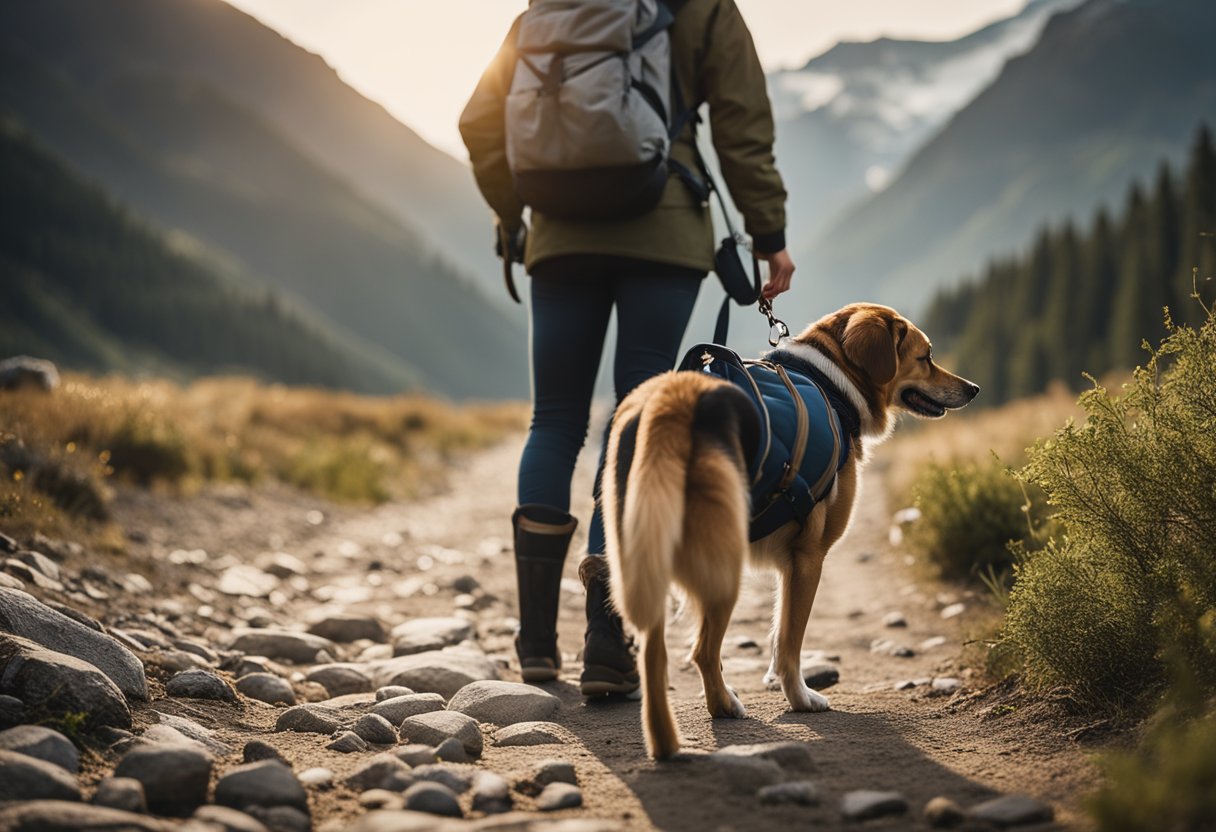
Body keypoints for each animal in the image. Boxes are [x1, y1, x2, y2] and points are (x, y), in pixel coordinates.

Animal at [605, 301, 977, 759]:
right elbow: (789, 642)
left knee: (655, 655)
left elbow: (779, 635)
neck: (834, 383)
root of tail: (674, 402)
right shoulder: (808, 559)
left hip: (643, 560)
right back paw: (722, 706)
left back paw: (664, 744)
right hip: (724, 569)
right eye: (926, 357)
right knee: (703, 651)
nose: (974, 388)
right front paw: (800, 699)